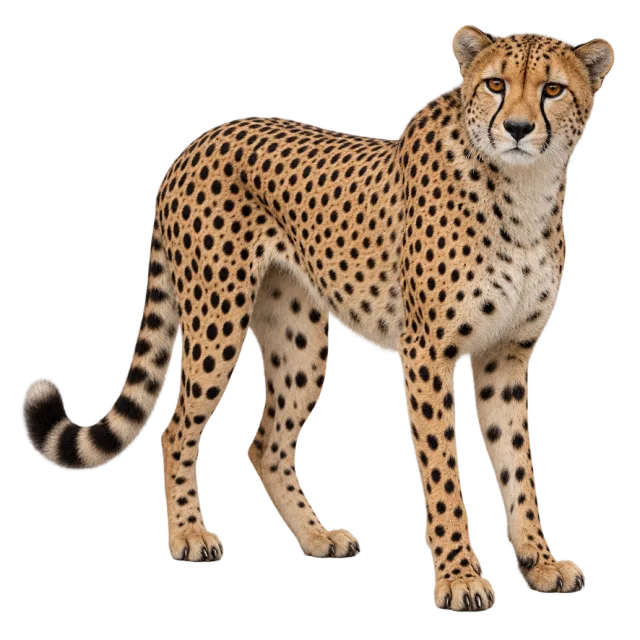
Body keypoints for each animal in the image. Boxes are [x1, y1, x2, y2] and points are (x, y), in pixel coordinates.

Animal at [21, 27, 614, 611]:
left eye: (553, 90)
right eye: (495, 84)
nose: (517, 128)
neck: (524, 187)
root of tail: (202, 138)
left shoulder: (505, 356)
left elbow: (517, 465)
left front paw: (539, 561)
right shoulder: (428, 355)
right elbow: (445, 473)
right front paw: (459, 577)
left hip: (300, 342)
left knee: (266, 443)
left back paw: (315, 536)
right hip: (217, 321)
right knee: (175, 427)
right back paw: (189, 532)